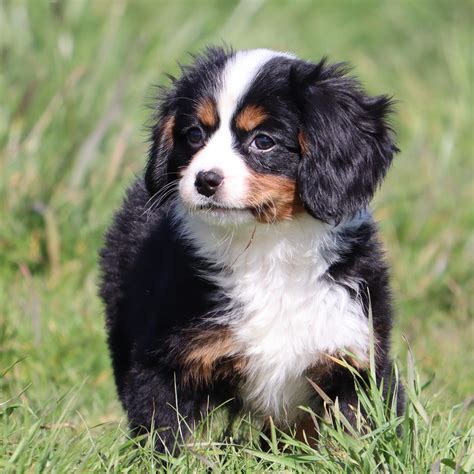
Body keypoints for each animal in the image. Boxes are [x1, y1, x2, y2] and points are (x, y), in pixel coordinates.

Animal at [99, 48, 404, 452]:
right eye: (194, 134)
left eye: (263, 141)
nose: (205, 180)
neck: (267, 247)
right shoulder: (166, 362)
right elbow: (167, 435)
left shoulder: (354, 355)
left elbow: (359, 437)